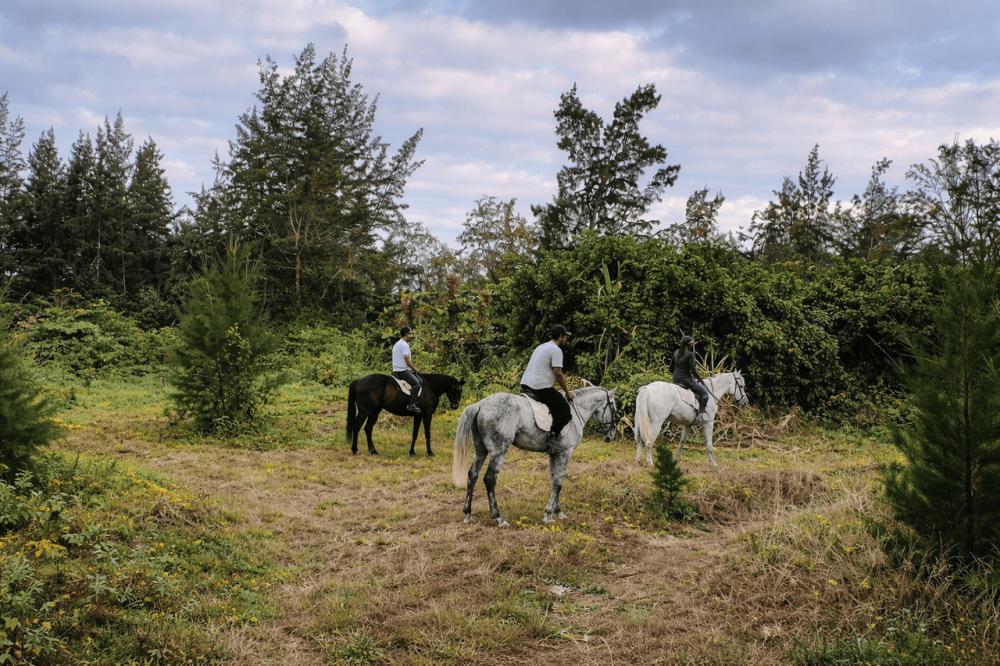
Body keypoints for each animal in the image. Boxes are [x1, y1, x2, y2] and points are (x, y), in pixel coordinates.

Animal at [451, 386, 618, 527]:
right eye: (614, 409)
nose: (610, 436)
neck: (576, 412)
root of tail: (480, 405)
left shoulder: (554, 454)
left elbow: (555, 481)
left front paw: (558, 512)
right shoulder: (565, 453)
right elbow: (558, 483)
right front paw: (548, 514)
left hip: (481, 450)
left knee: (472, 475)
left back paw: (468, 514)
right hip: (499, 451)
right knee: (489, 479)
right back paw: (498, 518)